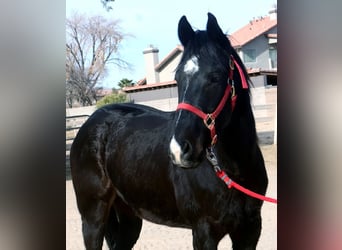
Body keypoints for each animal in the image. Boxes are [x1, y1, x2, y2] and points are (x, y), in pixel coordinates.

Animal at [71, 12, 268, 249]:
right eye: (178, 79)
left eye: (216, 76)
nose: (179, 150)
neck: (233, 171)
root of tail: (94, 120)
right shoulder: (204, 231)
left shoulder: (249, 230)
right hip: (93, 216)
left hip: (128, 215)